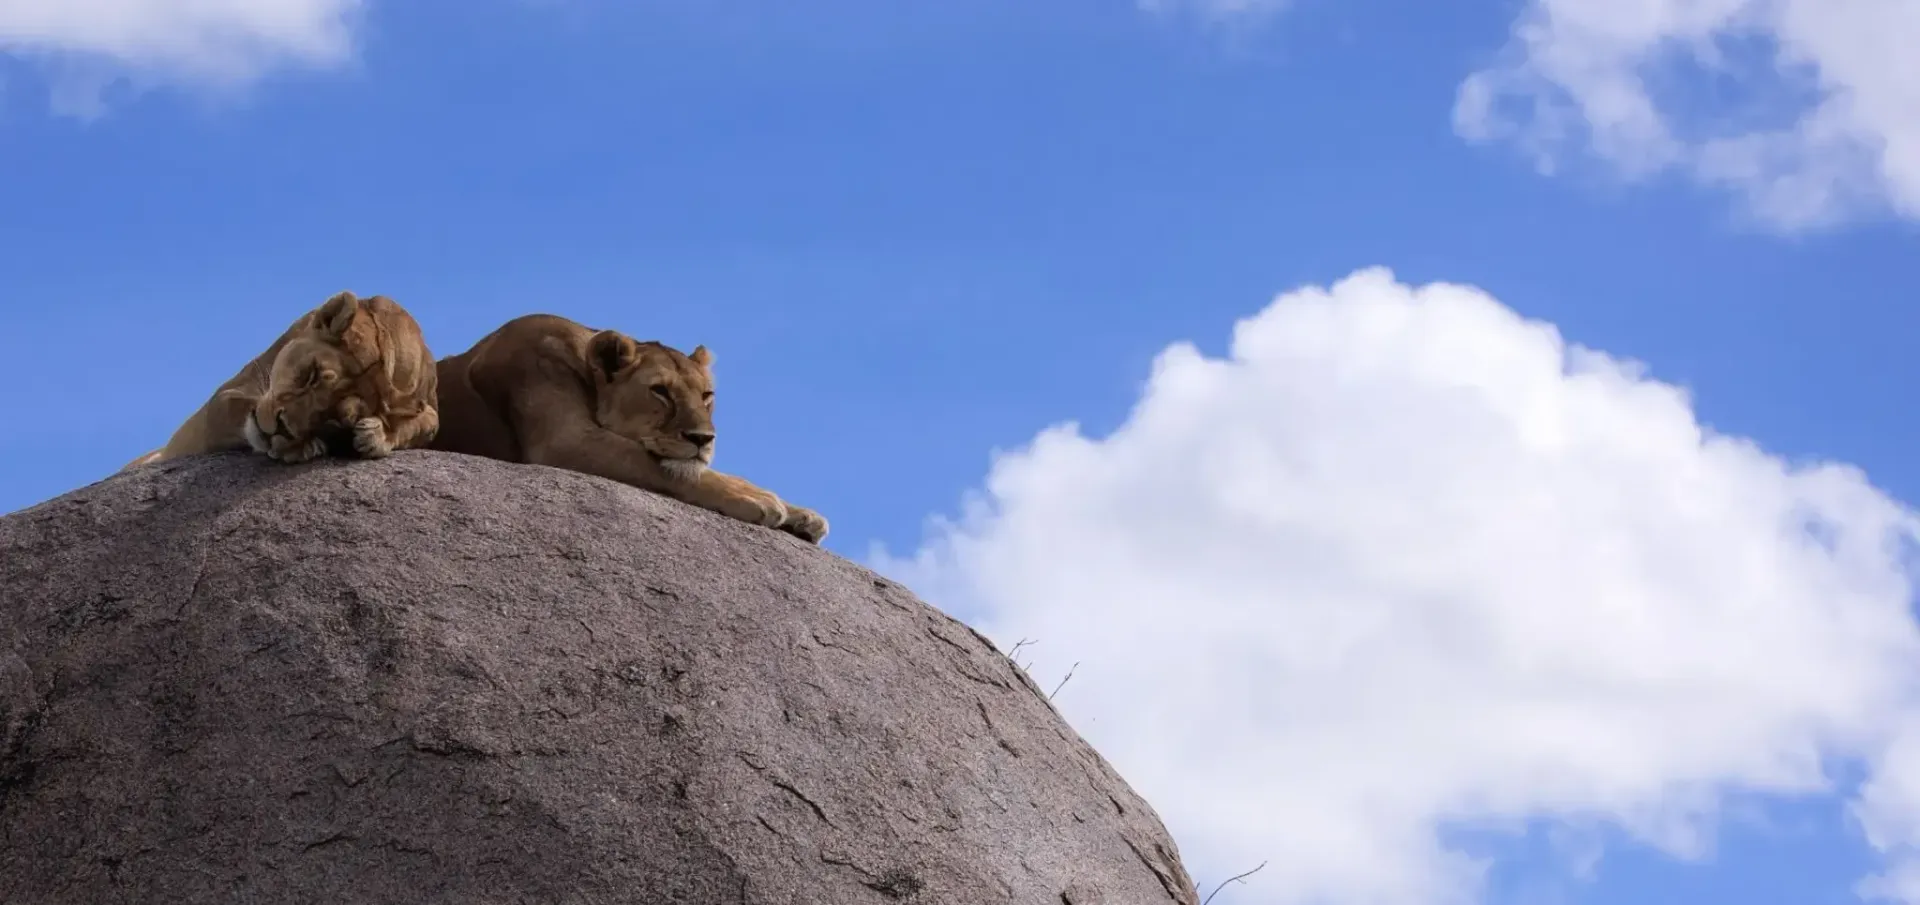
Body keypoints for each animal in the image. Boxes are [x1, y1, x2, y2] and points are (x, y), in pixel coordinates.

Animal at [124, 290, 439, 470]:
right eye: (311, 374)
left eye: (337, 419)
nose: (280, 430)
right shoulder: (224, 397)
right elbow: (236, 407)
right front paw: (301, 446)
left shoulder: (429, 402)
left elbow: (426, 423)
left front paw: (377, 435)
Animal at [429, 313, 829, 544]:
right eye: (660, 391)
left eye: (707, 395)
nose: (703, 439)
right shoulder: (566, 440)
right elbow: (667, 468)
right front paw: (757, 498)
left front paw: (802, 515)